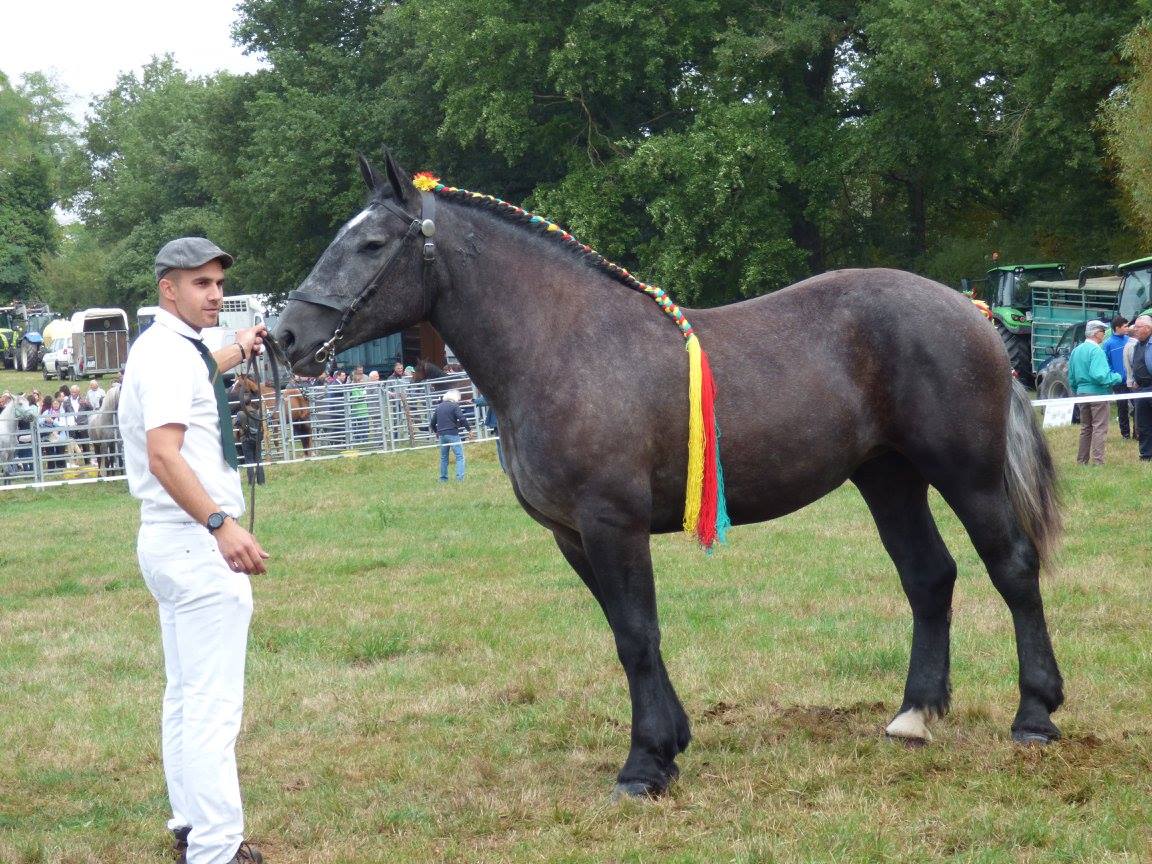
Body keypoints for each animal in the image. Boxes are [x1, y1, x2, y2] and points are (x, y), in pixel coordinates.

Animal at [274, 150, 1064, 797]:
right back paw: (914, 715)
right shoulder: (572, 536)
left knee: (1012, 567)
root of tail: (966, 309)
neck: (562, 347)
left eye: (372, 243)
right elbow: (628, 635)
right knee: (929, 577)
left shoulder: (611, 525)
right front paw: (671, 742)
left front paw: (645, 765)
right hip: (888, 478)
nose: (285, 337)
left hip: (966, 474)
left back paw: (1035, 714)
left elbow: (636, 635)